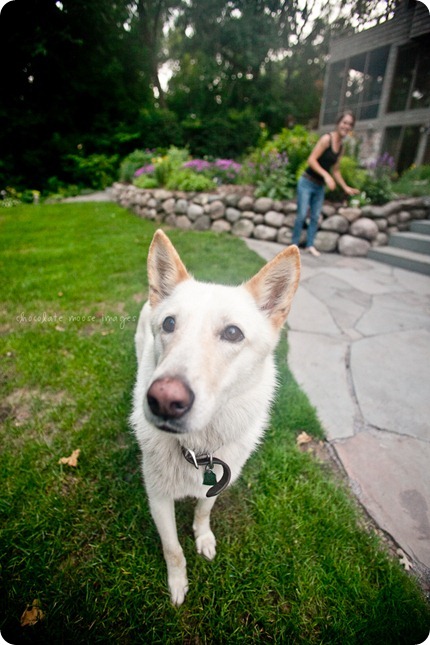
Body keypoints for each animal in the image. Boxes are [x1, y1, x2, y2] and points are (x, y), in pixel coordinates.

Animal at [129, 230, 300, 604]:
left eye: (233, 333)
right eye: (169, 324)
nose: (164, 400)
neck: (198, 449)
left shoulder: (218, 482)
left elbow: (203, 511)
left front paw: (203, 537)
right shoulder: (157, 497)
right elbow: (173, 549)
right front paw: (178, 583)